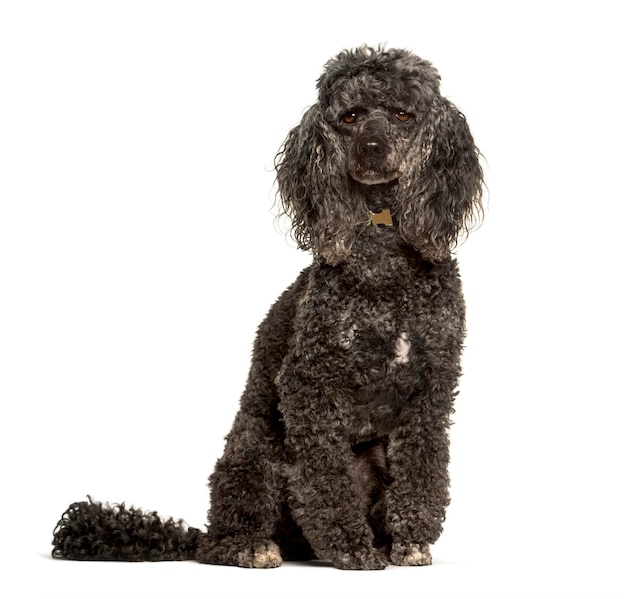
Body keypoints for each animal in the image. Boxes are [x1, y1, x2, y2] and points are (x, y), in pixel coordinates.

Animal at [52, 45, 482, 572]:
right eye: (351, 116)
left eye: (403, 115)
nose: (372, 148)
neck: (383, 257)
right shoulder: (310, 381)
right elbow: (324, 476)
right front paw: (350, 546)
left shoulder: (430, 385)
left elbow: (423, 467)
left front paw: (408, 542)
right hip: (258, 451)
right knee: (223, 538)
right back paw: (251, 546)